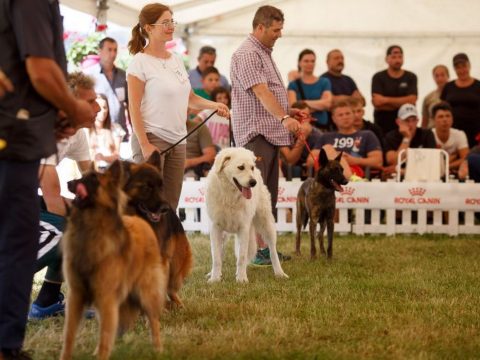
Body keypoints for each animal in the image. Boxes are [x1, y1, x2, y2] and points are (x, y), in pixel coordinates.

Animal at [61, 162, 168, 358]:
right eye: (82, 176)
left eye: (93, 179)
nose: (68, 183)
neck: (89, 230)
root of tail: (141, 221)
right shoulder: (76, 296)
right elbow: (69, 337)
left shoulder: (106, 297)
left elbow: (105, 338)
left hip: (147, 293)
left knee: (154, 321)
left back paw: (158, 349)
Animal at [204, 148, 286, 282]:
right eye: (241, 167)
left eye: (251, 167)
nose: (253, 182)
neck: (230, 195)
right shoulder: (216, 228)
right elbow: (216, 257)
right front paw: (215, 279)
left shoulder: (243, 228)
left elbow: (241, 257)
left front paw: (241, 279)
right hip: (224, 235)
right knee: (220, 253)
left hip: (266, 223)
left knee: (273, 251)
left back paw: (279, 273)